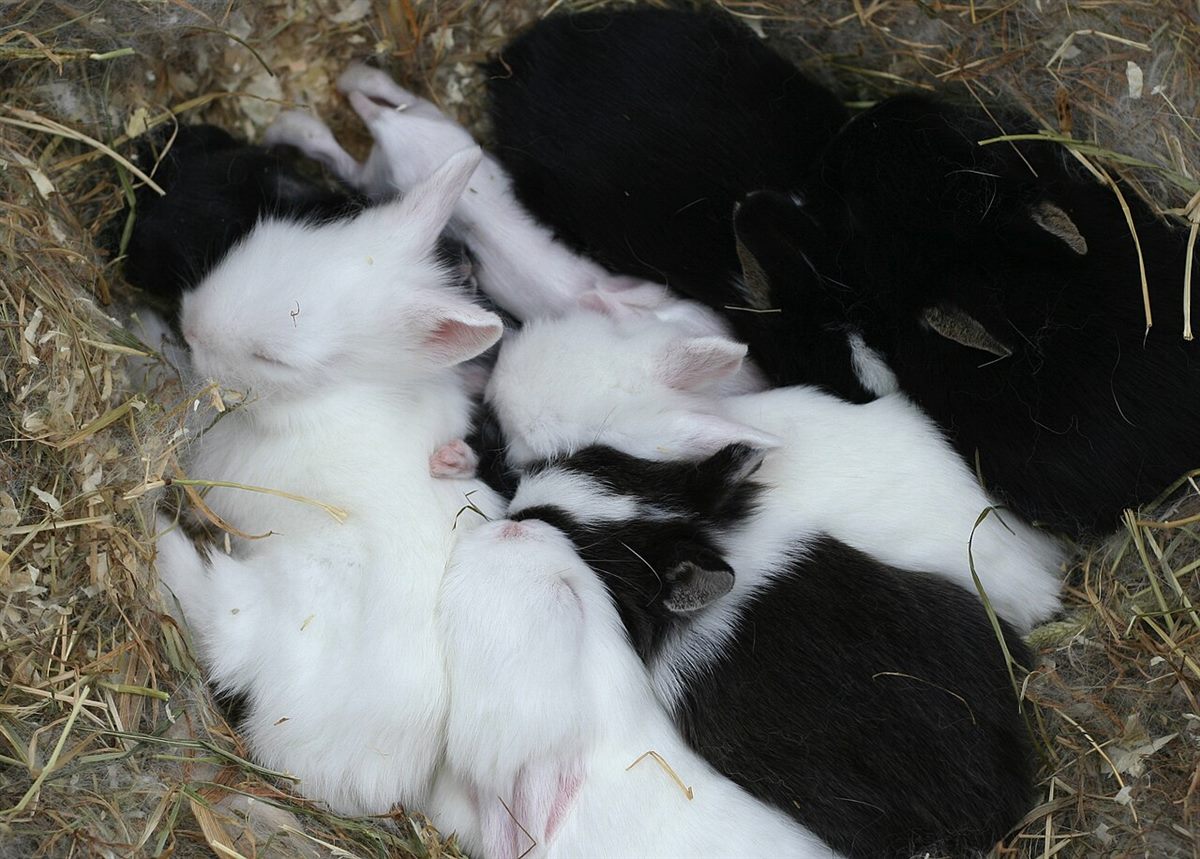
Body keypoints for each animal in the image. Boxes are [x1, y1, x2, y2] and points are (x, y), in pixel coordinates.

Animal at [153, 146, 507, 816]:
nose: (191, 325)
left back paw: (160, 537)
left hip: (273, 597)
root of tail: (361, 777)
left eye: (274, 358)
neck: (330, 397)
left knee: (216, 621)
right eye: (270, 236)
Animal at [263, 64, 764, 396]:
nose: (761, 376)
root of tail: (391, 131)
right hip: (386, 174)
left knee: (384, 97)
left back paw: (348, 82)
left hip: (435, 127)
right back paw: (296, 122)